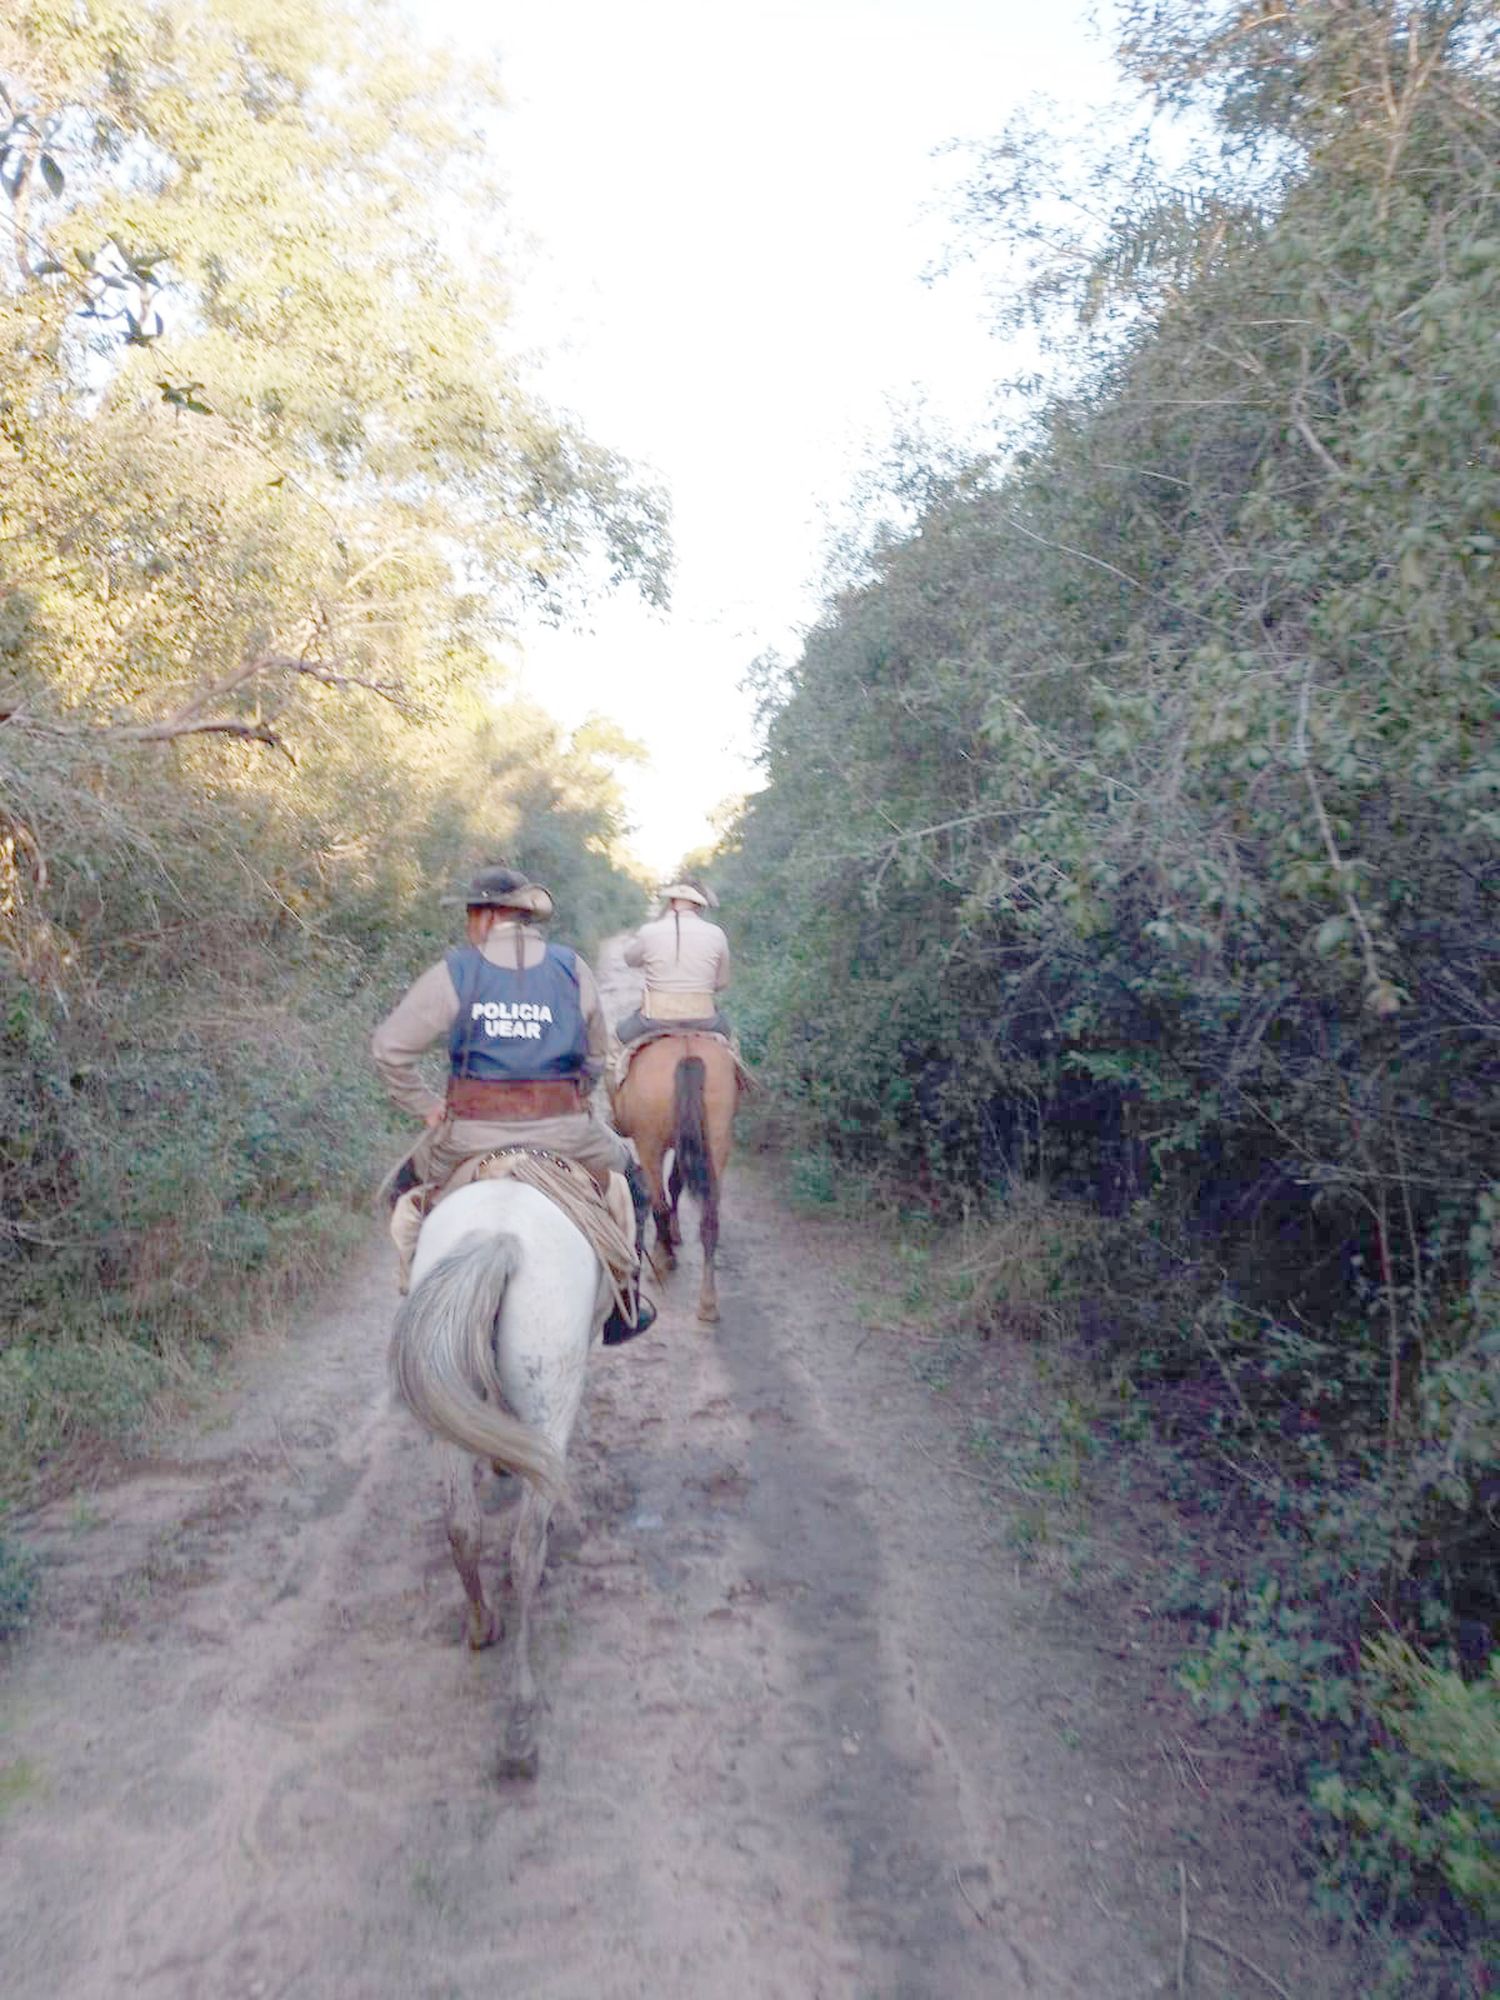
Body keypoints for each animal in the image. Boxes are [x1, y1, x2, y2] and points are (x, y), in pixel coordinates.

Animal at [388, 1176, 612, 1776]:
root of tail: (500, 1237)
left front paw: (501, 1459)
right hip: (551, 1395)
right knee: (524, 1547)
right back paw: (519, 1719)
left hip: (442, 1390)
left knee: (462, 1525)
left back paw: (481, 1625)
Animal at [612, 1032, 744, 1328]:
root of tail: (687, 1054)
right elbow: (676, 1183)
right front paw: (676, 1233)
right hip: (716, 1143)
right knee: (709, 1220)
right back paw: (707, 1304)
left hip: (650, 1145)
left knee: (658, 1201)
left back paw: (662, 1261)